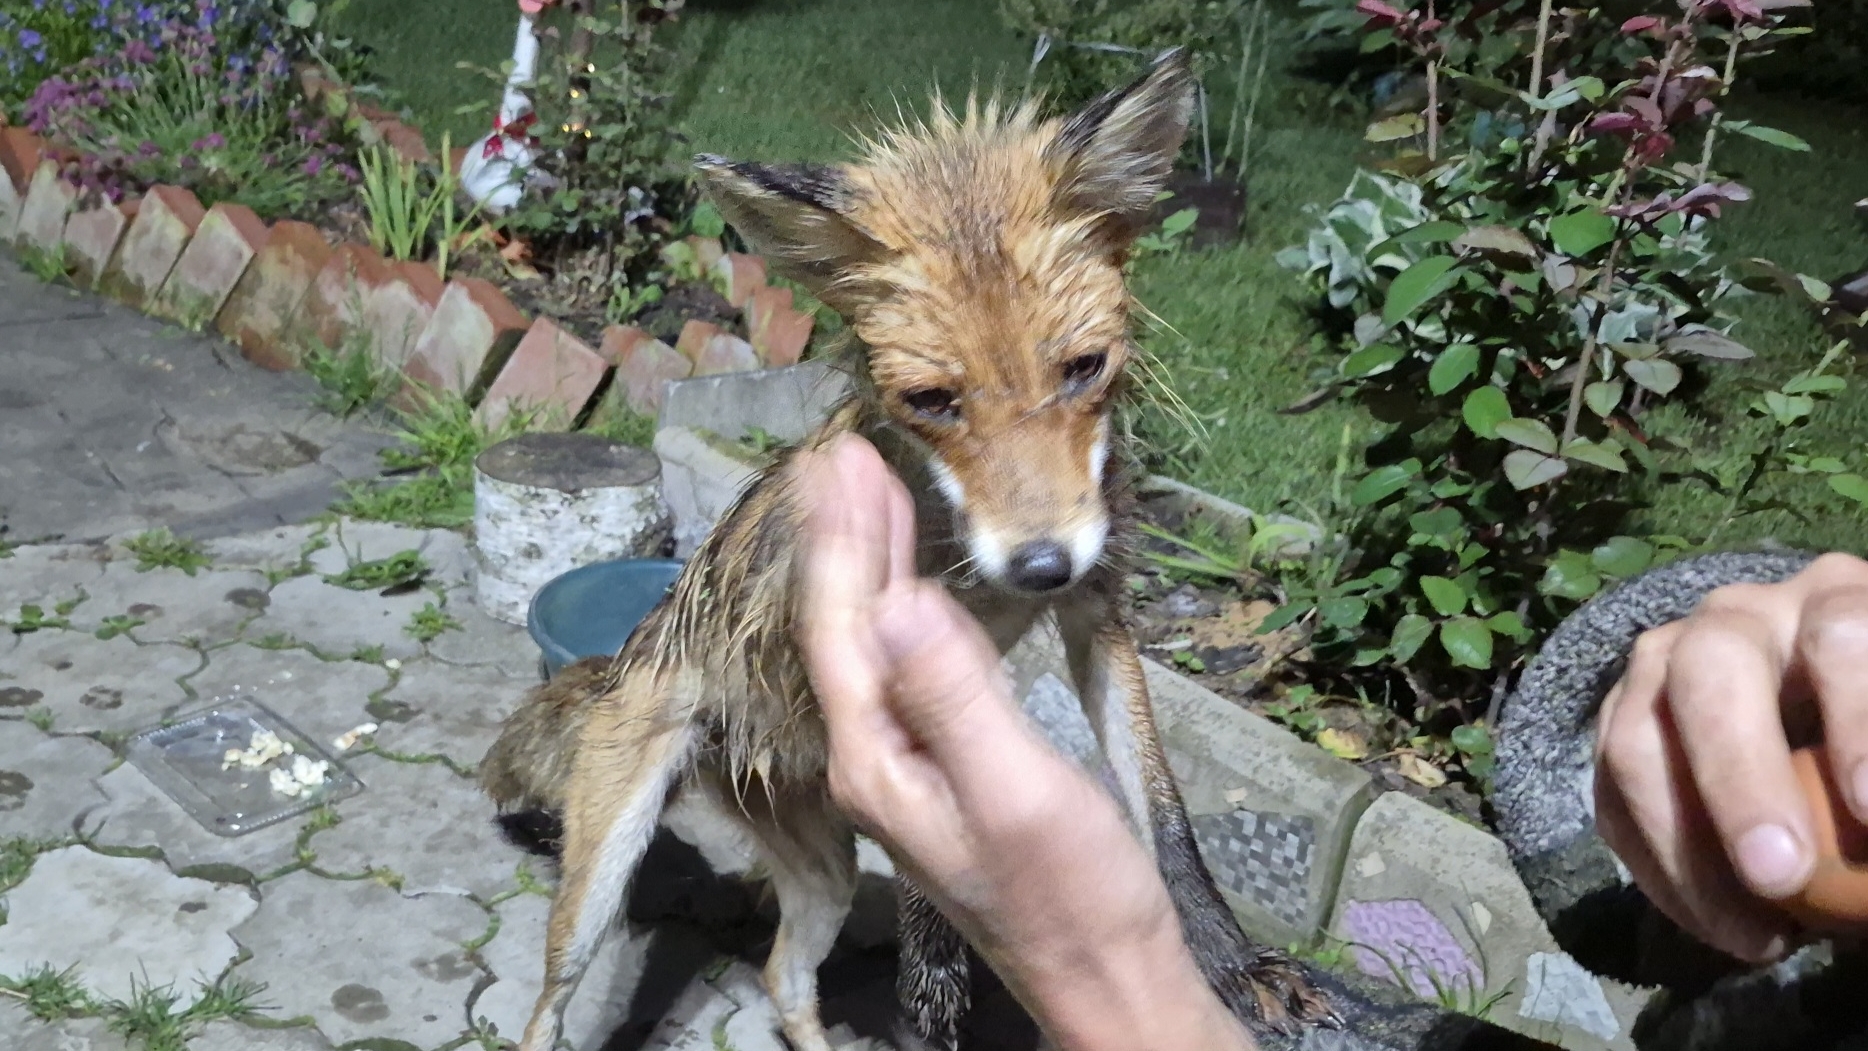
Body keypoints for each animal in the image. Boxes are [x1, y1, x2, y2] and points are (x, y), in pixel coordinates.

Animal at [478, 48, 1336, 1051]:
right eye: (932, 401)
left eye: (1084, 369)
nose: (1042, 566)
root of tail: (623, 661)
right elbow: (934, 884)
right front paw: (932, 982)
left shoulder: (1099, 617)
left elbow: (1167, 819)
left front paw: (1234, 965)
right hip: (601, 885)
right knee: (551, 1004)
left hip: (826, 870)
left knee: (784, 977)